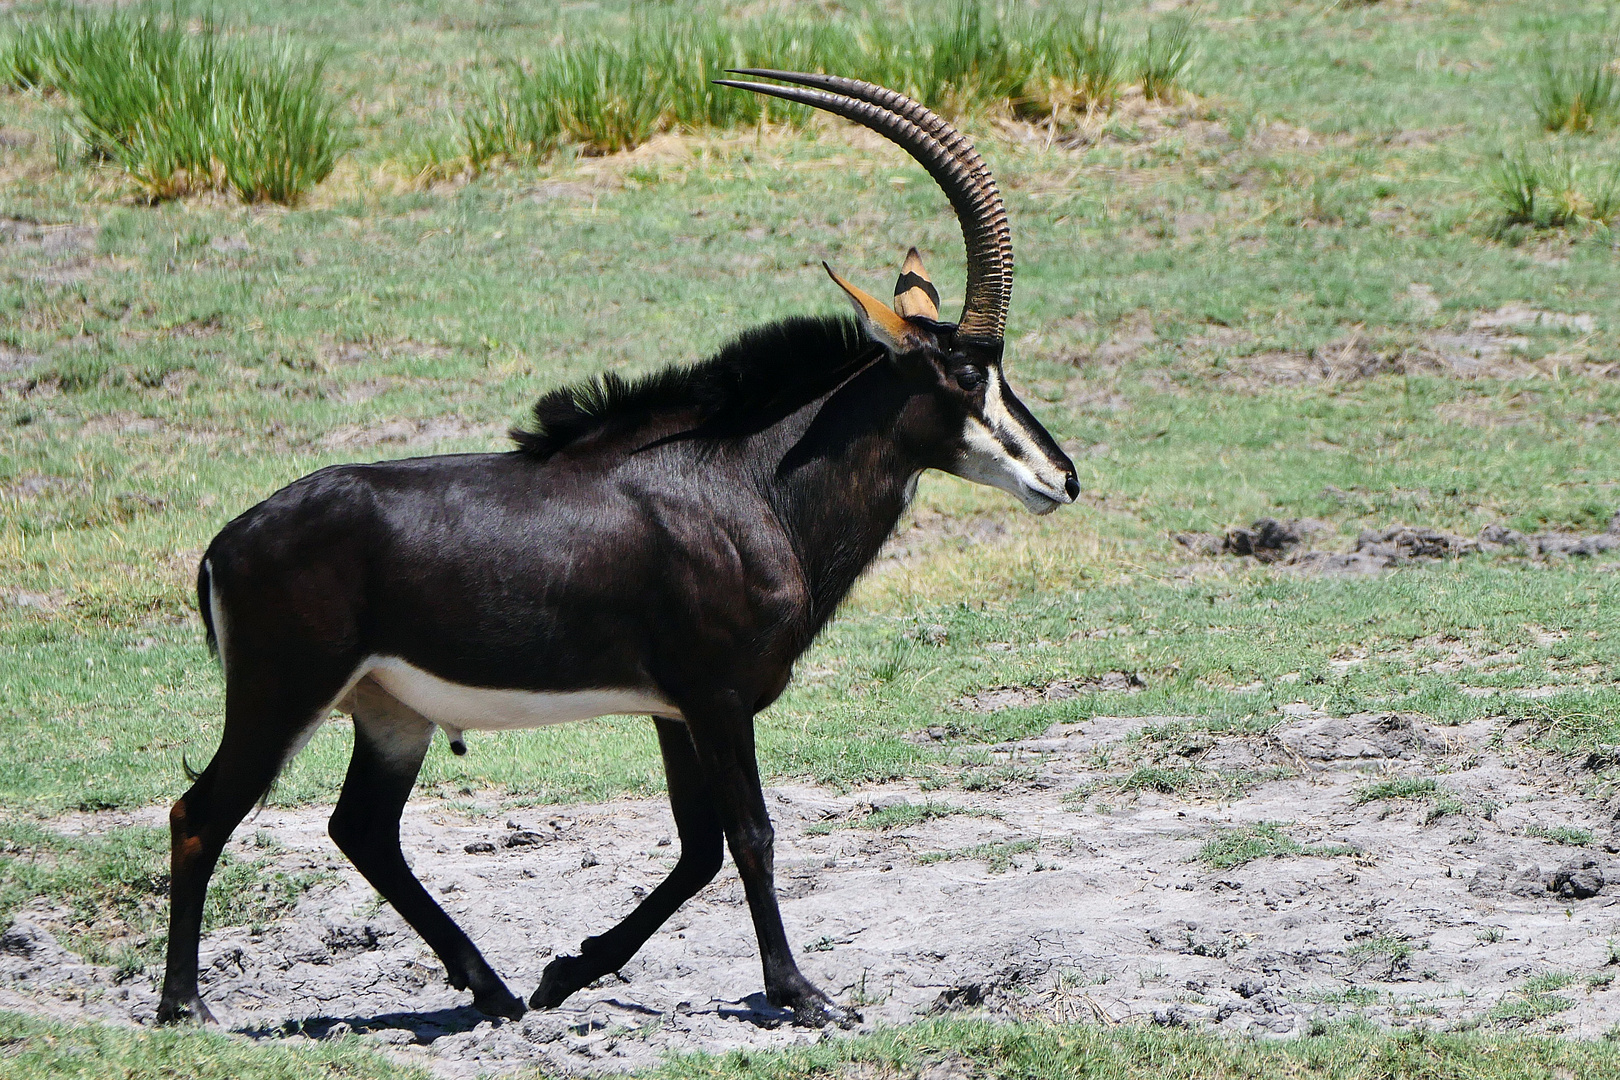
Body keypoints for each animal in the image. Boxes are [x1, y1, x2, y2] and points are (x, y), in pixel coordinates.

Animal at [157, 67, 1082, 1029]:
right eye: (968, 374)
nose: (1062, 478)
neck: (746, 479)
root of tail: (228, 541)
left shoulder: (675, 710)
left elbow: (698, 851)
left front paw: (568, 971)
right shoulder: (717, 698)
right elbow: (750, 835)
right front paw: (801, 994)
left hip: (390, 714)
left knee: (363, 831)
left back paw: (493, 988)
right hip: (283, 693)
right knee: (201, 813)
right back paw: (186, 1005)